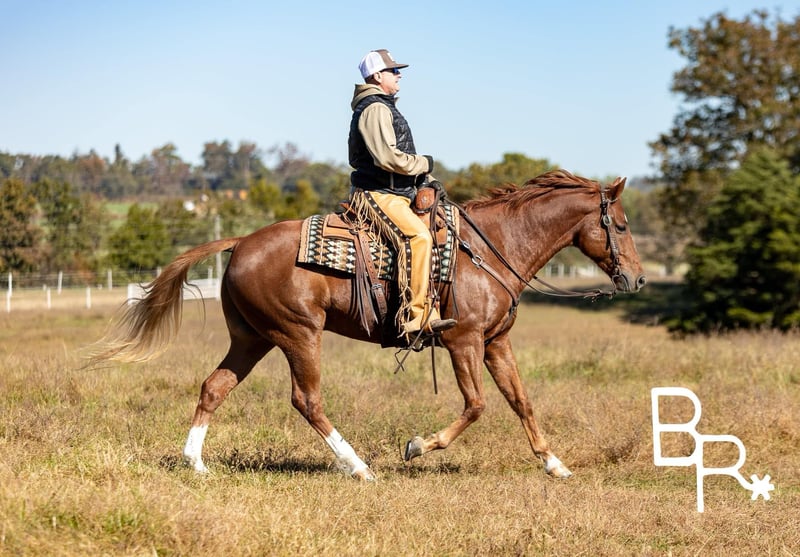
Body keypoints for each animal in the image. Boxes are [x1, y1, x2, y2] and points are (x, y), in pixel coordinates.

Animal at [92, 169, 646, 480]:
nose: (637, 278)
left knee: (214, 387)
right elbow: (477, 406)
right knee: (307, 401)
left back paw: (197, 464)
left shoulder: (495, 343)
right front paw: (418, 446)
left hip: (251, 339)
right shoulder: (463, 341)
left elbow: (521, 402)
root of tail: (241, 241)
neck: (491, 248)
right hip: (298, 335)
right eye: (620, 224)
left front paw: (555, 465)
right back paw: (359, 468)